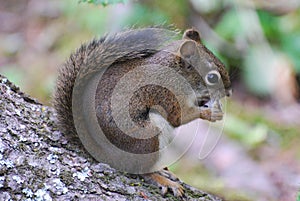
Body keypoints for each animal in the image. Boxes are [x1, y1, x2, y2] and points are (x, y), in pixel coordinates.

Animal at [54, 27, 232, 197]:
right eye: (212, 77)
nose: (229, 92)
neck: (176, 72)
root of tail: (102, 152)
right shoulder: (167, 93)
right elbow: (179, 117)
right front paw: (211, 114)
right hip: (148, 136)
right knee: (142, 170)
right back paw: (164, 180)